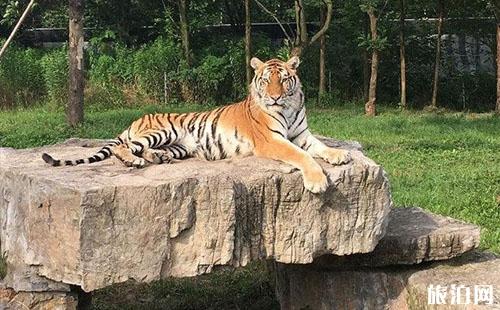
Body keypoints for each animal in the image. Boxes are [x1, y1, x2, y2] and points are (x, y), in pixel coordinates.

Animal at [43, 55, 354, 191]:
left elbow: (321, 147)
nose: (275, 97)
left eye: (284, 80)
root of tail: (137, 118)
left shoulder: (303, 135)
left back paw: (158, 158)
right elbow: (302, 156)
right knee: (125, 148)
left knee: (146, 150)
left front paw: (341, 155)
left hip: (180, 145)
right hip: (161, 130)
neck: (288, 109)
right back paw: (135, 161)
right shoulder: (272, 141)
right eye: (266, 81)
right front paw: (317, 182)